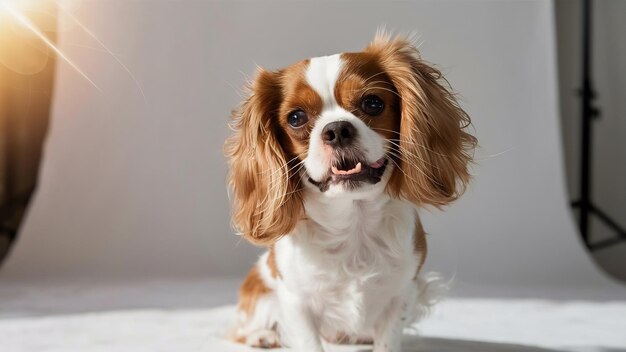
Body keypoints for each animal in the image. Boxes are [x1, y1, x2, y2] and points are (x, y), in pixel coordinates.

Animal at [224, 31, 472, 350]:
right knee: (243, 327)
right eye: (296, 118)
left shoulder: (401, 294)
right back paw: (262, 336)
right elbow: (308, 342)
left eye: (373, 103)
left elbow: (387, 341)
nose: (337, 129)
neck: (353, 220)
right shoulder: (295, 302)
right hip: (260, 292)